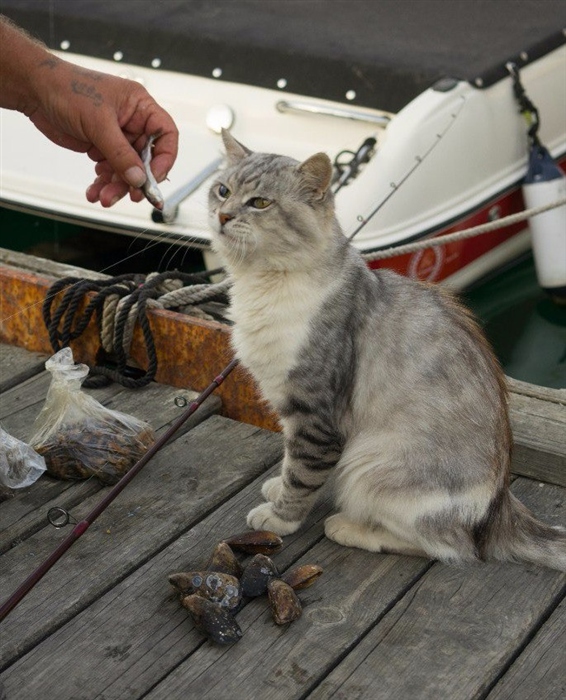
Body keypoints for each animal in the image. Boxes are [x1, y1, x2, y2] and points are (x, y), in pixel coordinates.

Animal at [210, 129, 566, 572]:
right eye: (222, 191)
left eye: (260, 203)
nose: (223, 216)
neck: (261, 285)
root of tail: (500, 509)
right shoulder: (290, 408)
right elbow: (289, 463)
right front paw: (277, 487)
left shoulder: (314, 415)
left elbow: (301, 475)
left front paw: (279, 518)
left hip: (369, 465)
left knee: (452, 549)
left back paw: (348, 527)